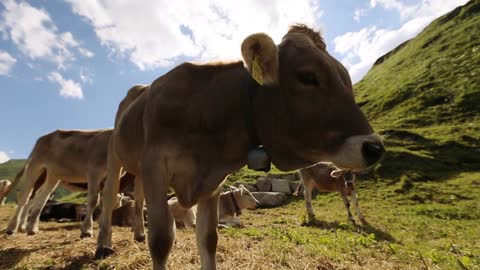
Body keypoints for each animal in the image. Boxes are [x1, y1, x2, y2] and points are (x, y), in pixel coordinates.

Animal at [2, 129, 143, 240]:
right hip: (35, 166)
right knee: (25, 197)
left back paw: (31, 228)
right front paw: (87, 230)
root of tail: (43, 138)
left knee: (41, 198)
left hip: (51, 174)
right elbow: (93, 200)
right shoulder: (94, 171)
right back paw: (13, 227)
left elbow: (106, 200)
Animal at [95, 24, 384, 268]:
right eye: (308, 76)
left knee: (137, 197)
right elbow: (161, 240)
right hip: (116, 157)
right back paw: (103, 245)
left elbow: (208, 240)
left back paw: (137, 233)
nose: (375, 148)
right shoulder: (156, 167)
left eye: (347, 79)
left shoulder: (212, 182)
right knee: (108, 199)